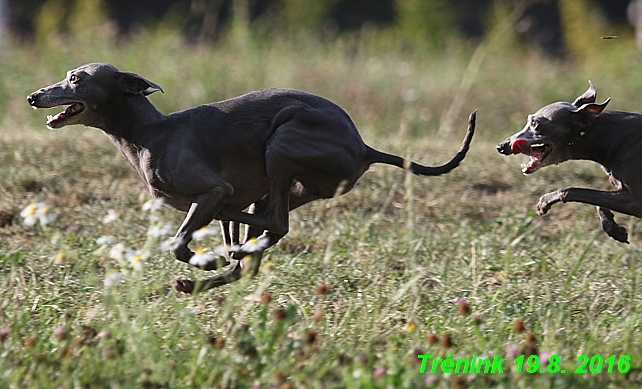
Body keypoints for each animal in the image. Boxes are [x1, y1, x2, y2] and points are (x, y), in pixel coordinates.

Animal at [26, 61, 476, 292]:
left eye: (76, 79)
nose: (33, 96)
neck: (150, 132)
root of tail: (364, 146)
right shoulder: (216, 196)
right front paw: (212, 261)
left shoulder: (211, 188)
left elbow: (179, 241)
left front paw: (203, 258)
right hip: (282, 180)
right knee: (261, 239)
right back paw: (230, 256)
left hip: (282, 143)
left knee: (273, 224)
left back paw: (231, 251)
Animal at [496, 82, 636, 242]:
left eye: (535, 123)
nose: (501, 146)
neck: (613, 135)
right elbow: (598, 202)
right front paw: (613, 228)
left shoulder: (632, 201)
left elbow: (570, 190)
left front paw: (544, 202)